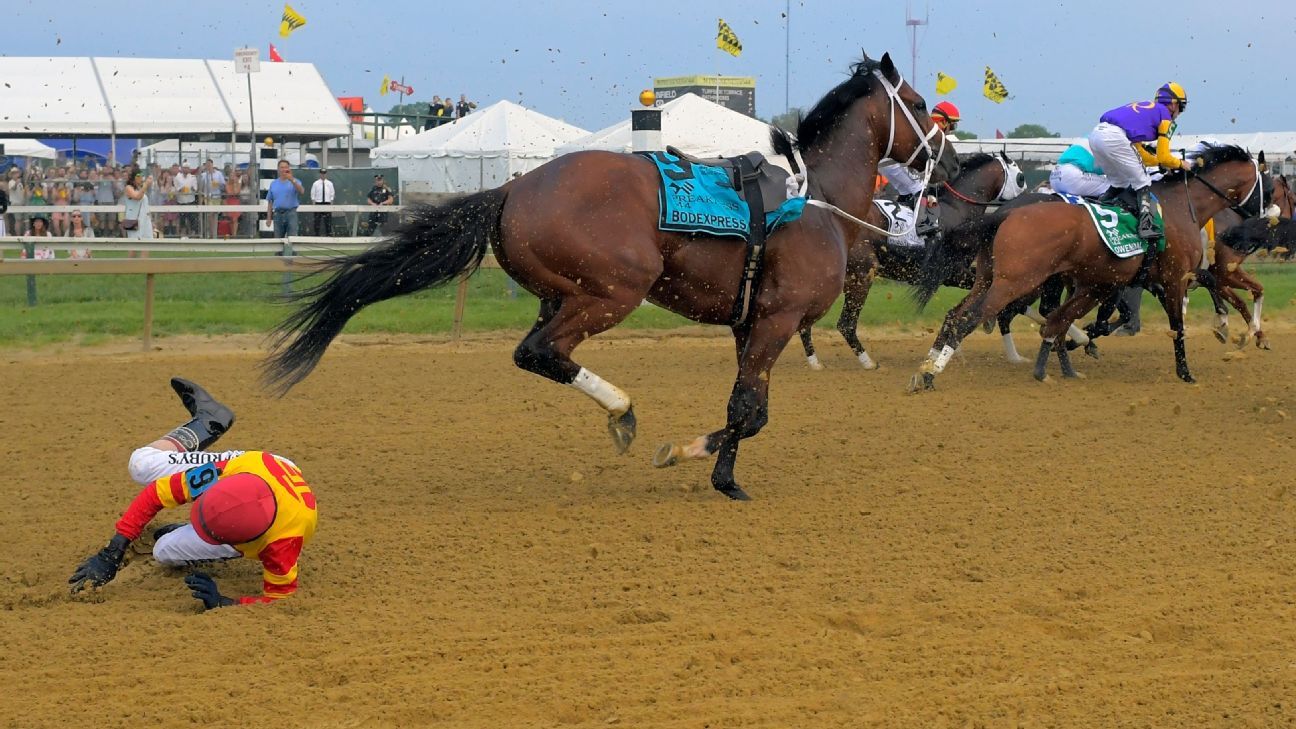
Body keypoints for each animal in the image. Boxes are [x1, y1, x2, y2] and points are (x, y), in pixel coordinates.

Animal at [263, 53, 959, 498]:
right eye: (920, 104)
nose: (951, 158)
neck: (815, 201)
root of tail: (514, 186)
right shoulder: (777, 321)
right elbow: (746, 412)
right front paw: (693, 456)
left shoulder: (750, 323)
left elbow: (749, 409)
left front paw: (722, 474)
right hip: (614, 290)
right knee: (542, 351)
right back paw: (622, 411)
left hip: (560, 292)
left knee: (537, 352)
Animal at [912, 143, 1264, 389]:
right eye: (1267, 184)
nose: (1261, 220)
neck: (1179, 206)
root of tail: (1006, 213)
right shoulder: (1174, 276)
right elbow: (1177, 324)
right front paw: (1189, 369)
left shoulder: (1112, 282)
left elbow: (1067, 319)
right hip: (1014, 281)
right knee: (973, 317)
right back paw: (930, 375)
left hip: (989, 278)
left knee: (958, 313)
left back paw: (929, 364)